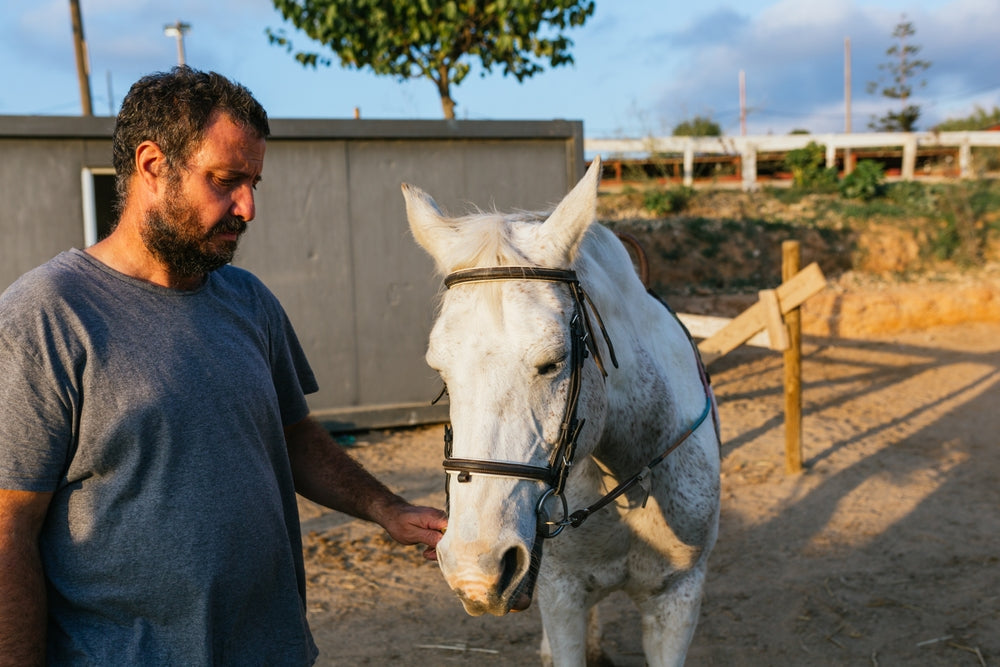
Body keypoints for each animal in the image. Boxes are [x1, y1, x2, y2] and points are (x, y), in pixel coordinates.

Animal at [401, 157, 721, 667]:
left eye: (553, 362)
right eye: (440, 371)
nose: (474, 567)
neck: (634, 472)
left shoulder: (677, 599)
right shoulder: (562, 595)